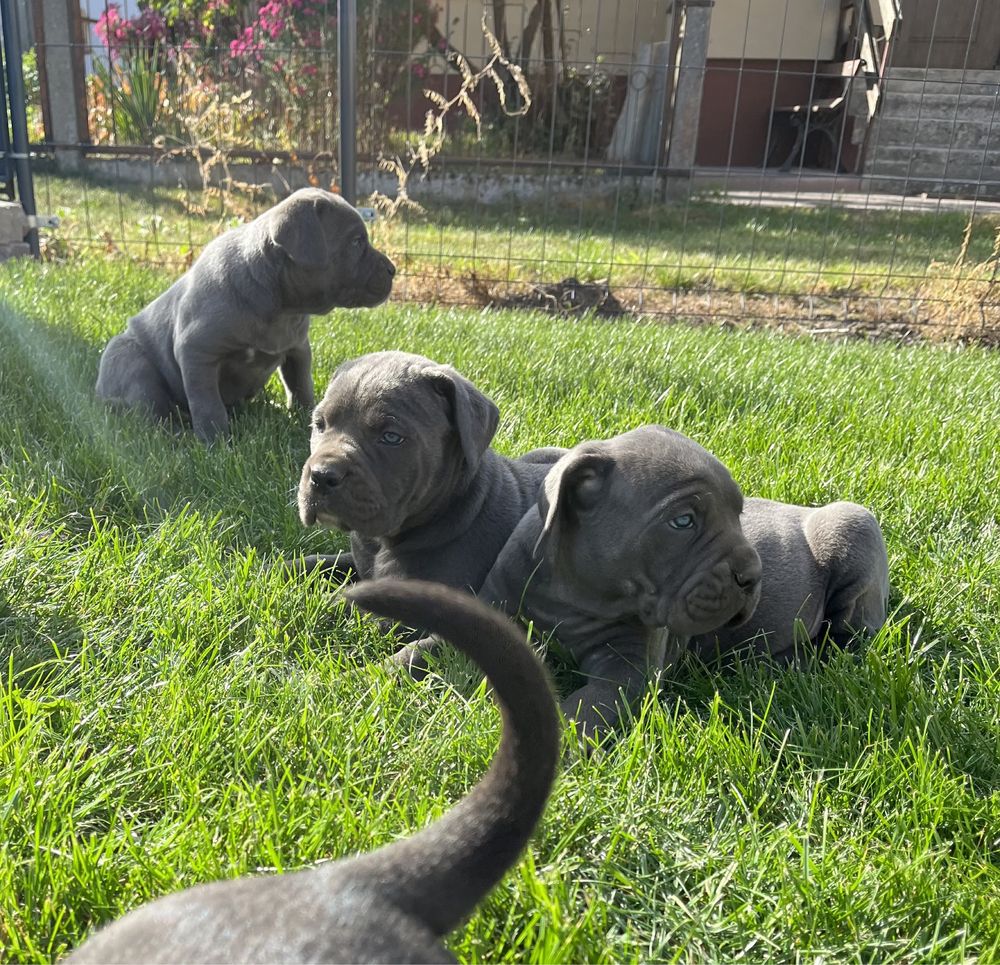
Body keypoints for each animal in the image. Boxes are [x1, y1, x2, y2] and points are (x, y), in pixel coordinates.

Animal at [95, 186, 394, 442]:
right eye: (356, 242)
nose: (393, 269)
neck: (282, 308)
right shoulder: (196, 353)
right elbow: (207, 402)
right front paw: (215, 442)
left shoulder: (297, 348)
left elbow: (300, 385)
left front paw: (305, 419)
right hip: (131, 361)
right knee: (151, 411)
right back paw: (176, 434)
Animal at [458, 426, 760, 736]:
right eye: (682, 521)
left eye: (738, 514)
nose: (752, 576)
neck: (576, 592)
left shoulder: (628, 669)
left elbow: (586, 708)